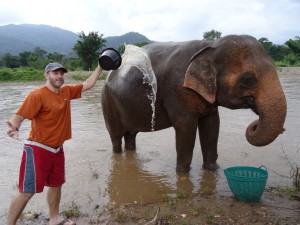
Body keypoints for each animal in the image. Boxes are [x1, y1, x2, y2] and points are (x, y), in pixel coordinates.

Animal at [100, 34, 286, 172]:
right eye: (248, 79)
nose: (254, 124)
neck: (210, 46)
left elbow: (212, 124)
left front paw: (213, 170)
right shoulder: (178, 89)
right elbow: (186, 127)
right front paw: (182, 174)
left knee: (131, 135)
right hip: (107, 103)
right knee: (116, 137)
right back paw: (117, 155)